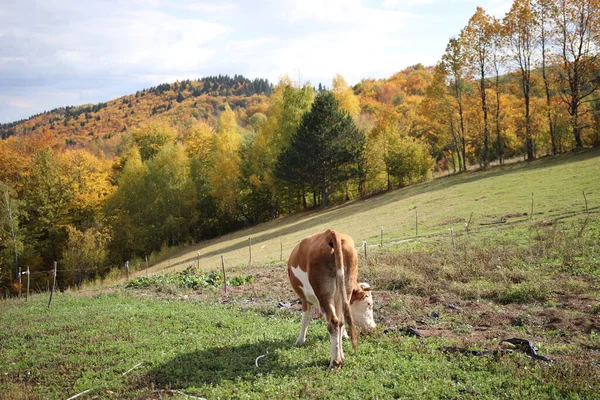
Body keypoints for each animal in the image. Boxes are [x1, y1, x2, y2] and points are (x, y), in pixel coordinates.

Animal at [288, 230, 376, 368]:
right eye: (368, 304)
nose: (373, 326)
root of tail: (331, 233)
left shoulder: (306, 299)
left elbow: (305, 319)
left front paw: (300, 340)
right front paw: (344, 338)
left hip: (324, 294)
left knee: (333, 323)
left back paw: (335, 361)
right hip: (345, 287)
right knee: (340, 320)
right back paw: (341, 357)